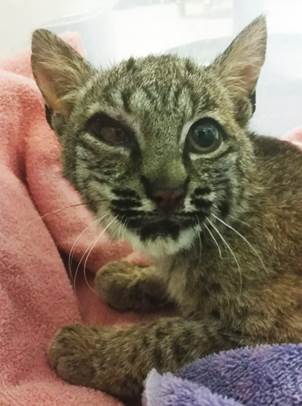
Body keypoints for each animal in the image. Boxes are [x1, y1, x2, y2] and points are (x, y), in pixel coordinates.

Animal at [31, 17, 302, 398]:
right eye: (111, 133)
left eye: (205, 136)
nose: (168, 192)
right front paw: (129, 277)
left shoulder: (272, 337)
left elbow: (171, 338)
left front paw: (89, 349)